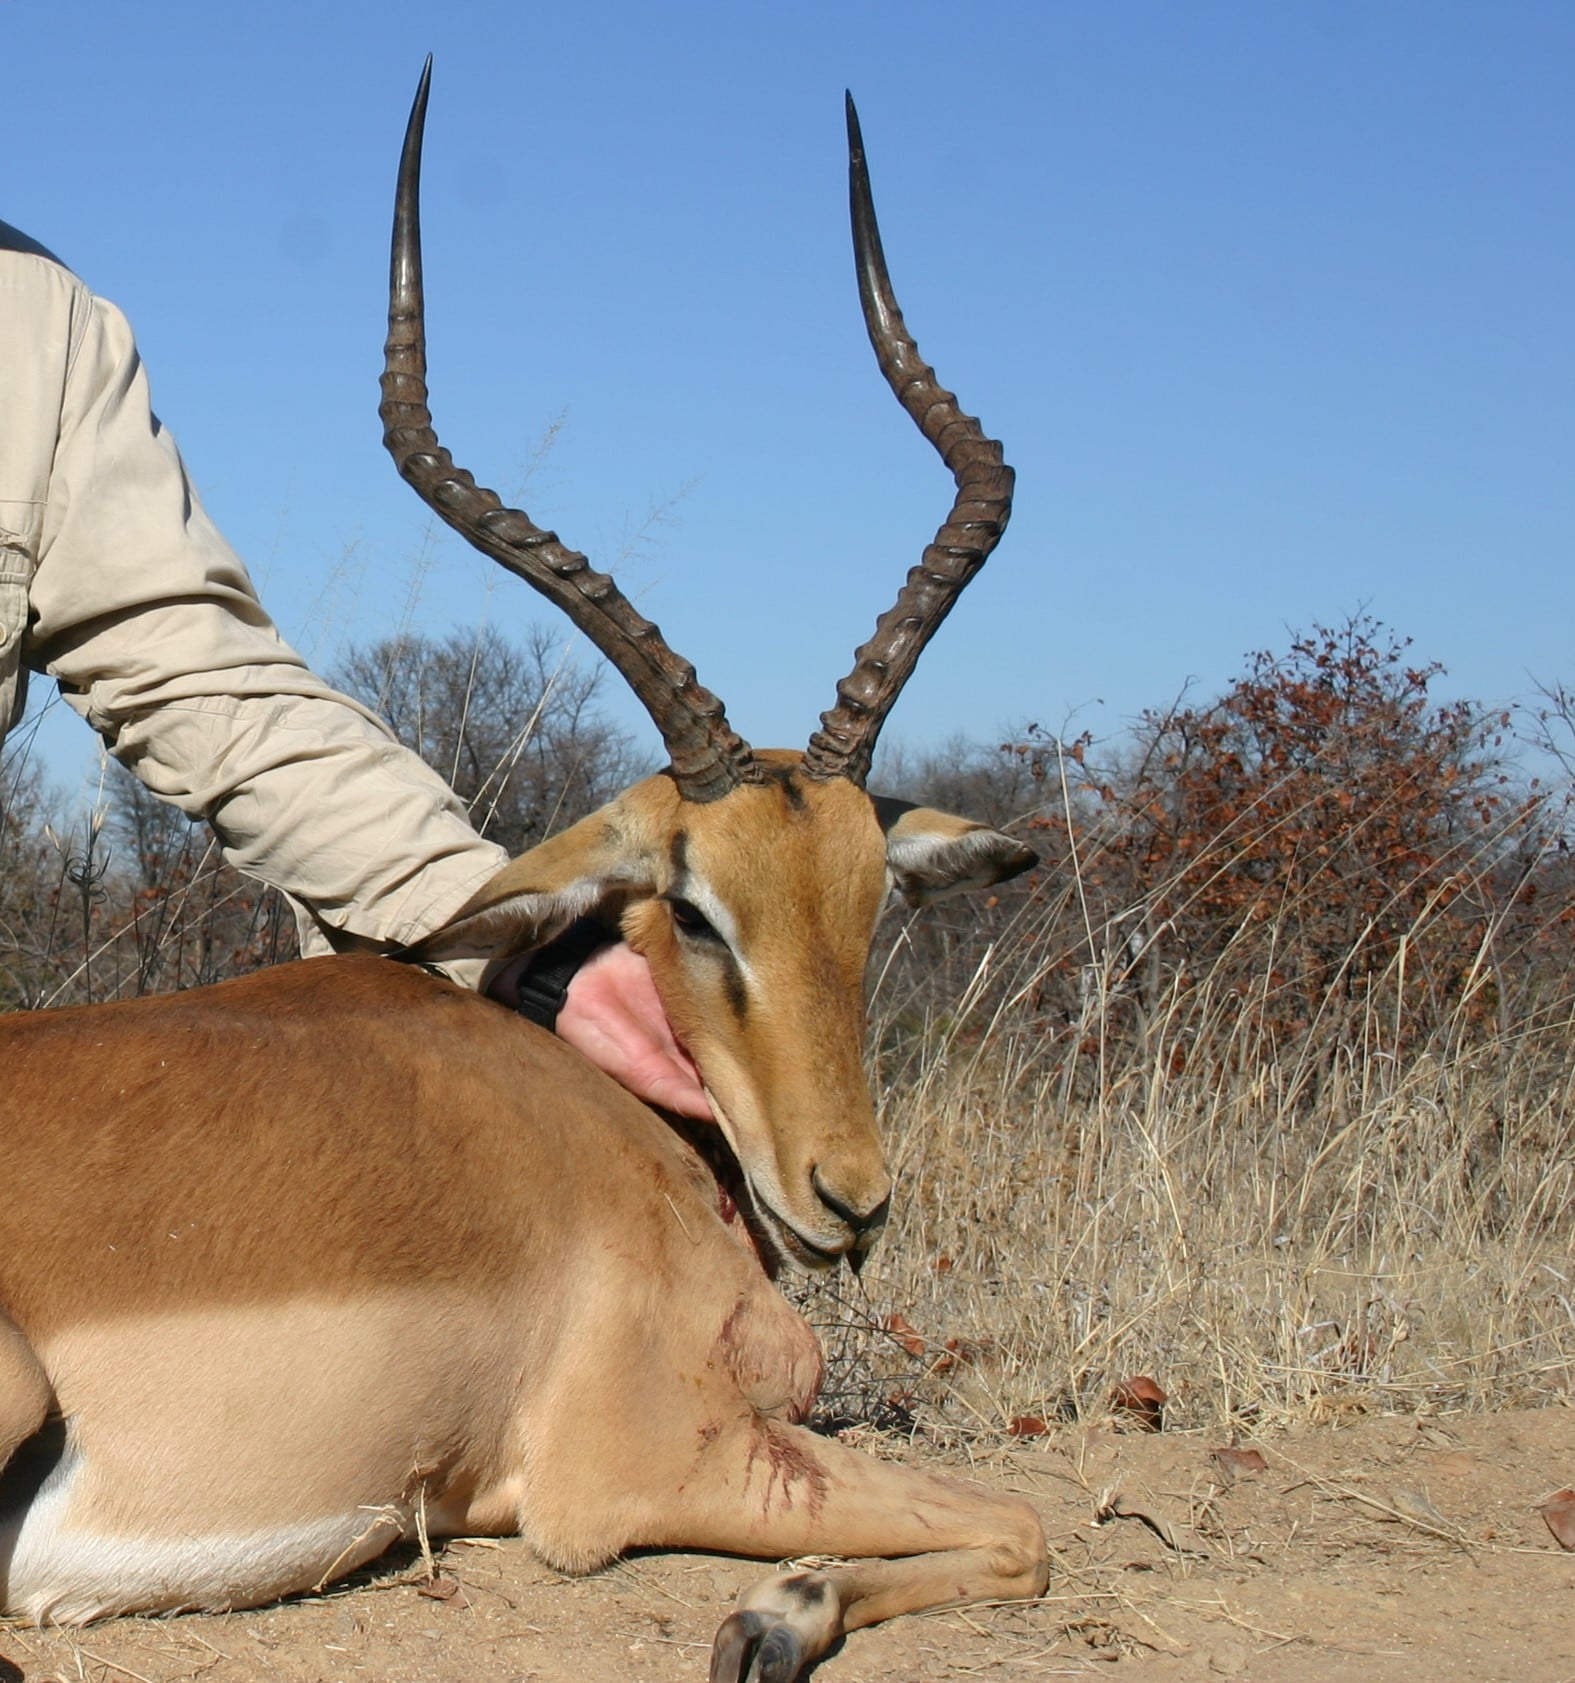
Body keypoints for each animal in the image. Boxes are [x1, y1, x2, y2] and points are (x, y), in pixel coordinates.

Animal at [0, 62, 1048, 1681]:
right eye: (695, 909)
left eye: (872, 906)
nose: (850, 1198)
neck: (613, 1115)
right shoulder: (639, 1469)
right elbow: (1024, 1525)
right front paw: (768, 1614)